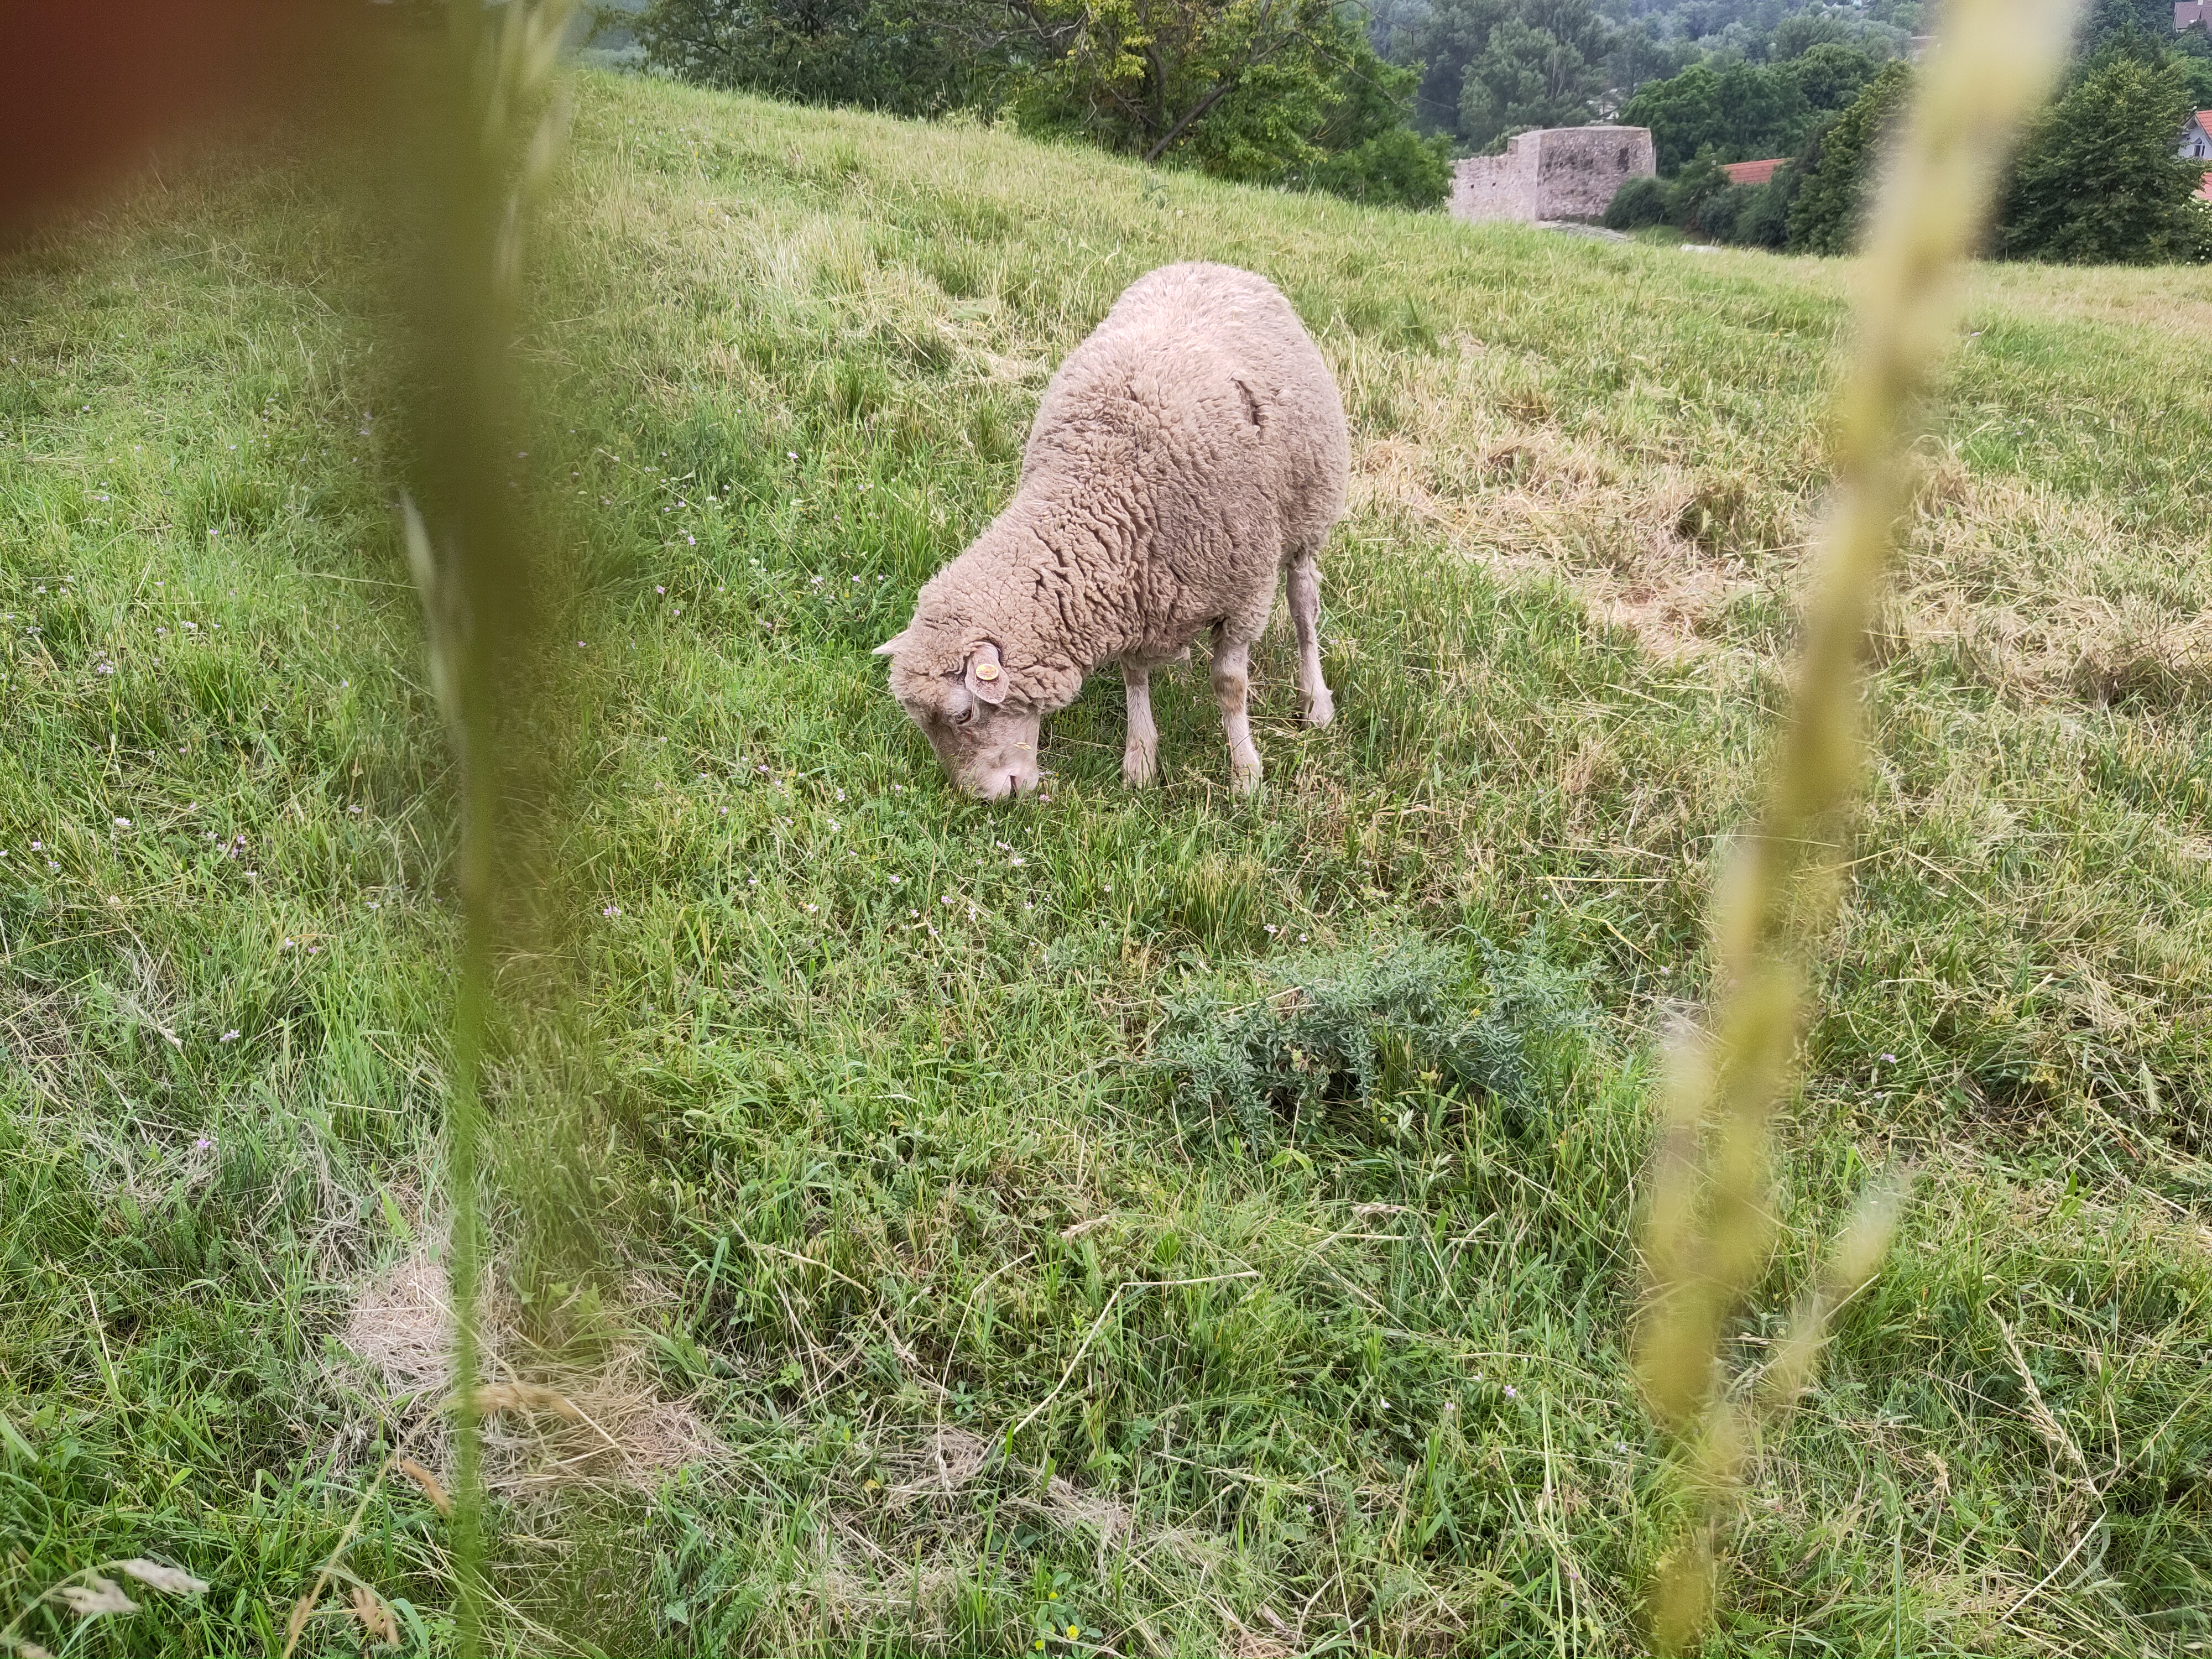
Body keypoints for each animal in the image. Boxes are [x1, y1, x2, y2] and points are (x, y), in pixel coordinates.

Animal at [876, 261, 1349, 800]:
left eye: (963, 713)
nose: (988, 799)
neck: (1105, 481)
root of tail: (1214, 265)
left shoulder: (1243, 595)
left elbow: (1230, 687)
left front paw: (1245, 773)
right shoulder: (1134, 591)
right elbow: (1134, 676)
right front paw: (1140, 759)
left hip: (1307, 516)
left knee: (1304, 605)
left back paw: (1316, 700)